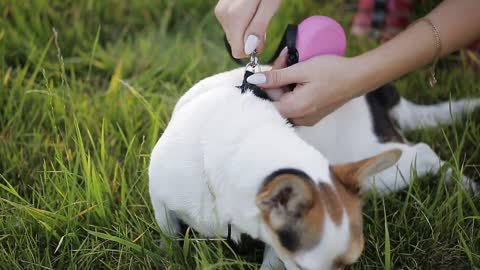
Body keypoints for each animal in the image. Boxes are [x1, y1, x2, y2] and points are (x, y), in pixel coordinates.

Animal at [148, 66, 478, 268]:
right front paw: (168, 255)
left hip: (381, 172)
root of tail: (371, 92)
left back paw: (467, 187)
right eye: (301, 266)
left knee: (424, 153)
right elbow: (169, 233)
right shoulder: (160, 198)